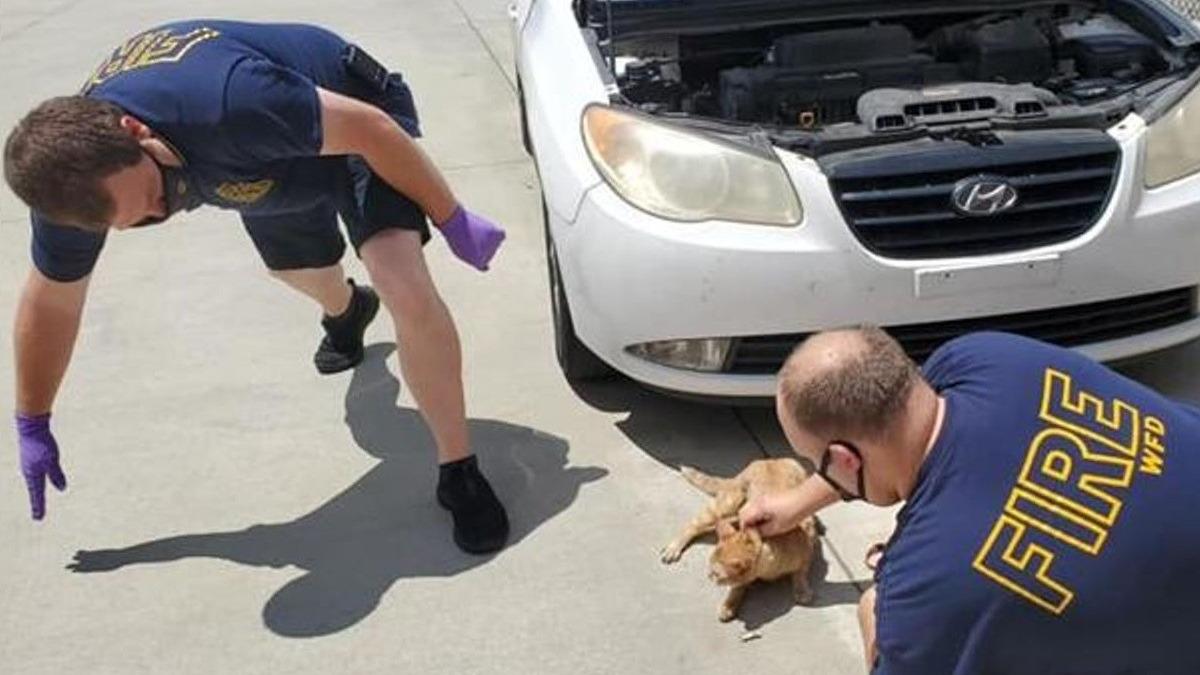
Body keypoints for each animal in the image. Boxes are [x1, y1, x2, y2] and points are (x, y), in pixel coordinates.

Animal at [662, 456, 820, 619]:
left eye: (716, 574)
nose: (708, 576)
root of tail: (770, 459)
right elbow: (737, 587)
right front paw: (729, 603)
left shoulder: (808, 545)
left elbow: (800, 572)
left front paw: (801, 589)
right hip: (728, 504)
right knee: (693, 525)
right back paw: (674, 547)